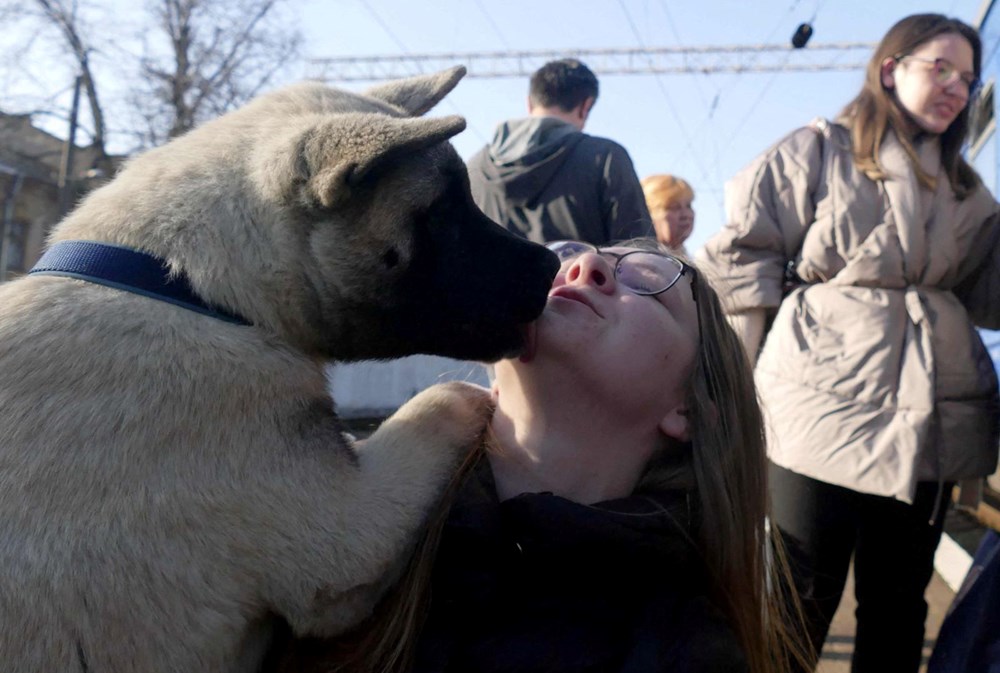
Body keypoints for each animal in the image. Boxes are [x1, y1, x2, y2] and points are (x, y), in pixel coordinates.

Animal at [0, 68, 564, 672]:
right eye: (440, 214)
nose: (551, 263)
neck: (189, 290)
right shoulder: (348, 532)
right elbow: (439, 406)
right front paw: (478, 401)